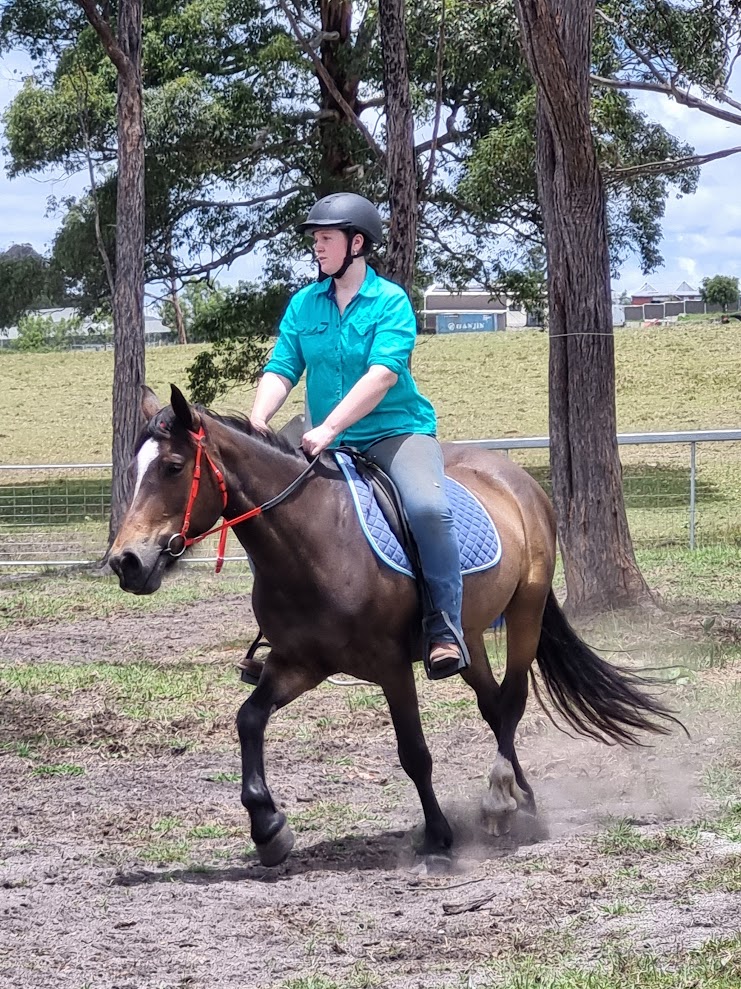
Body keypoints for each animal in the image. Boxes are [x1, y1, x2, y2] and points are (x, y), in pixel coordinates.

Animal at [108, 385, 680, 870]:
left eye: (174, 466)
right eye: (136, 469)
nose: (126, 562)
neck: (314, 540)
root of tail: (519, 483)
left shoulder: (389, 666)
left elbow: (414, 752)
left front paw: (439, 837)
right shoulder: (298, 663)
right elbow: (249, 719)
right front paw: (268, 829)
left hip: (525, 612)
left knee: (513, 700)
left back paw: (498, 799)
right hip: (467, 635)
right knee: (495, 706)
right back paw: (523, 799)